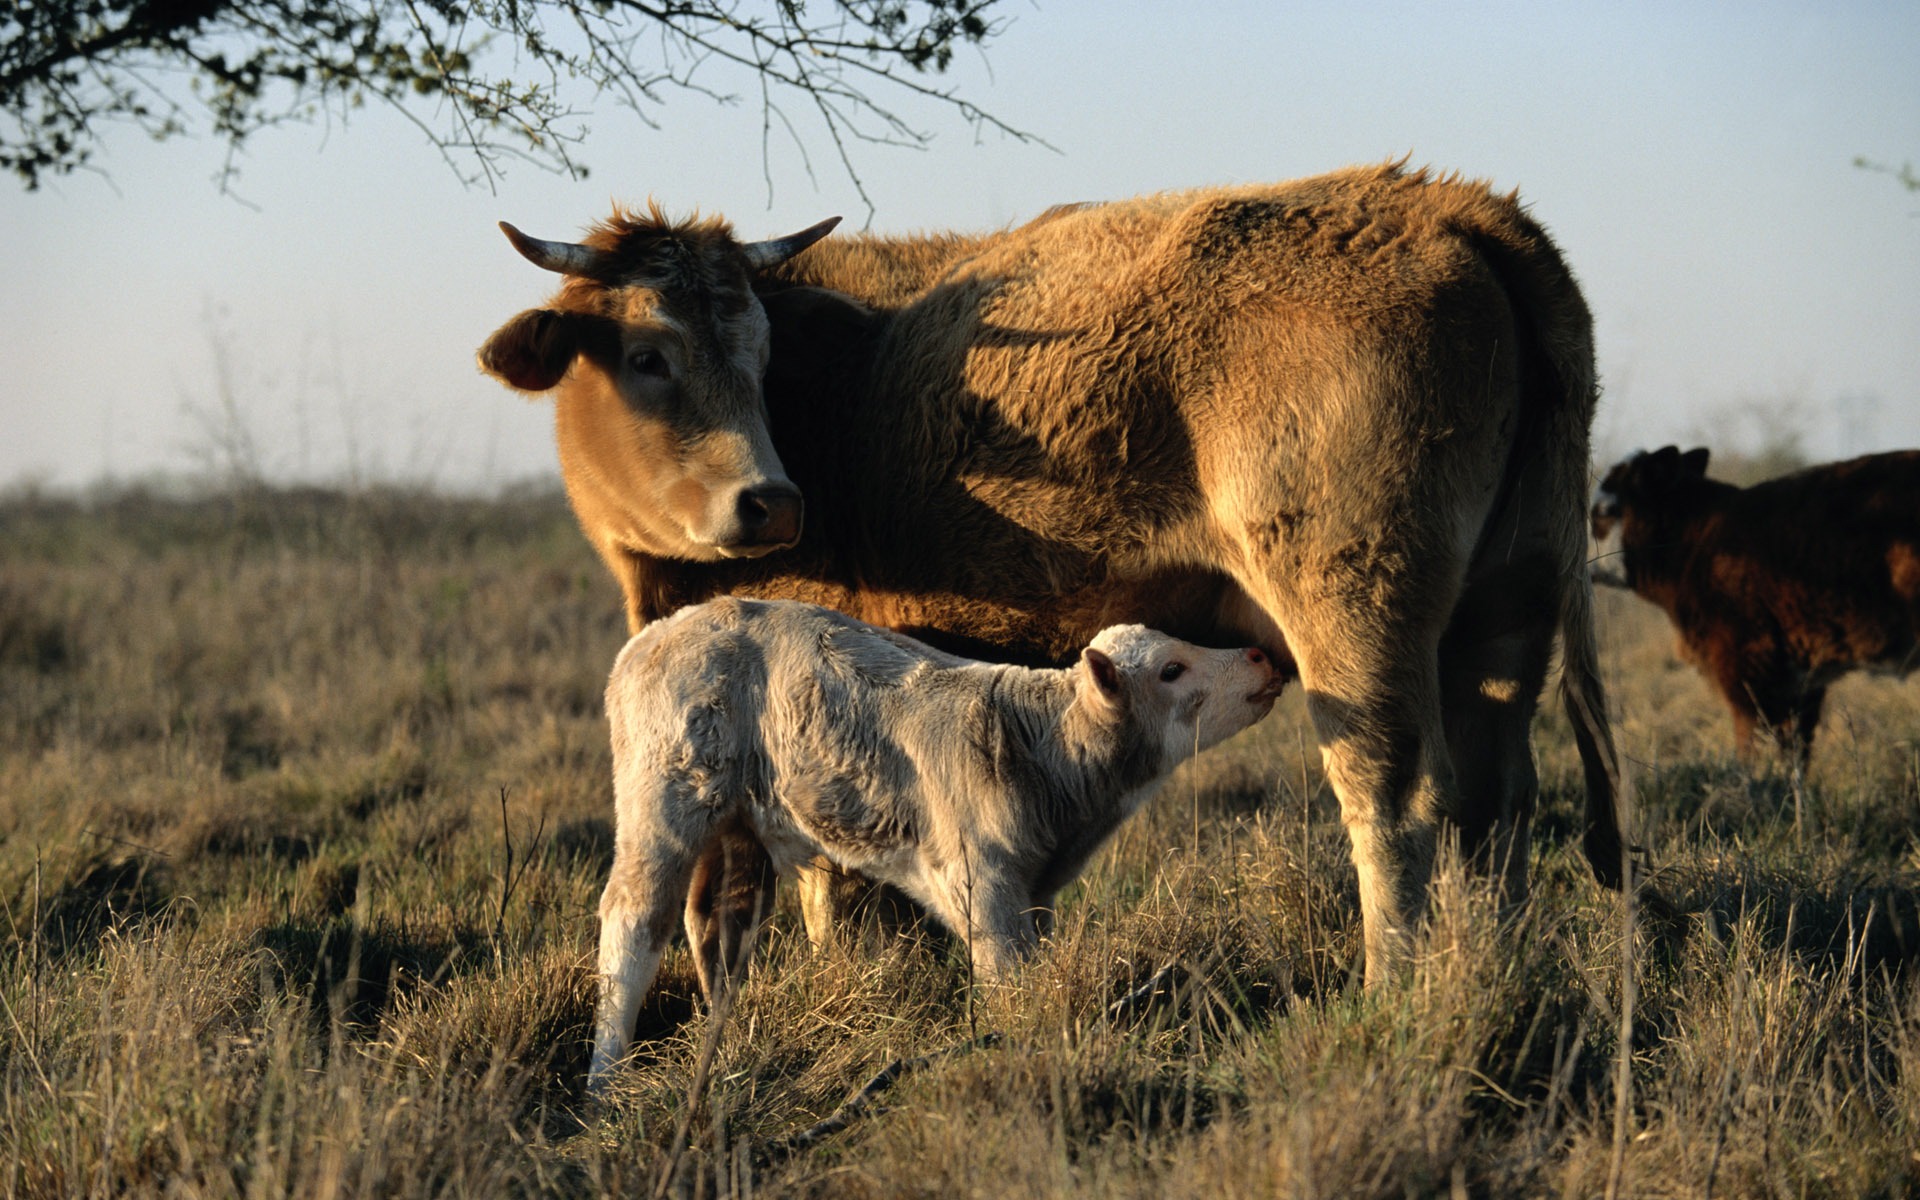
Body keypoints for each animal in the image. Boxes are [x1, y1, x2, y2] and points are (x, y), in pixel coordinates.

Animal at [476, 161, 1620, 983]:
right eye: (648, 356)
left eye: (759, 355)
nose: (771, 502)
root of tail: (1453, 208)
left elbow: (816, 873)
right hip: (1507, 615)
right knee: (1497, 799)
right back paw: (1493, 977)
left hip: (1357, 621)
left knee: (1394, 801)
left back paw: (1394, 992)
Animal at [1589, 447, 1920, 768]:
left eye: (1602, 512)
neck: (1697, 543)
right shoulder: (1801, 683)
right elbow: (1794, 754)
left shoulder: (1746, 667)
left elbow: (1751, 750)